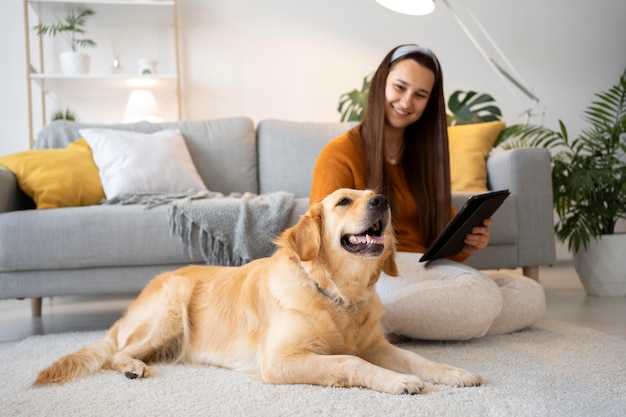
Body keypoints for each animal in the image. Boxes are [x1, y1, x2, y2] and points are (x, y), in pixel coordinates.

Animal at [35, 188, 482, 394]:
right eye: (343, 201)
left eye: (374, 193)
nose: (382, 201)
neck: (339, 295)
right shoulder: (281, 361)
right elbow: (351, 362)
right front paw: (397, 382)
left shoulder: (375, 344)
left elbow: (415, 357)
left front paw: (454, 372)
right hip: (172, 302)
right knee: (117, 353)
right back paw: (133, 367)